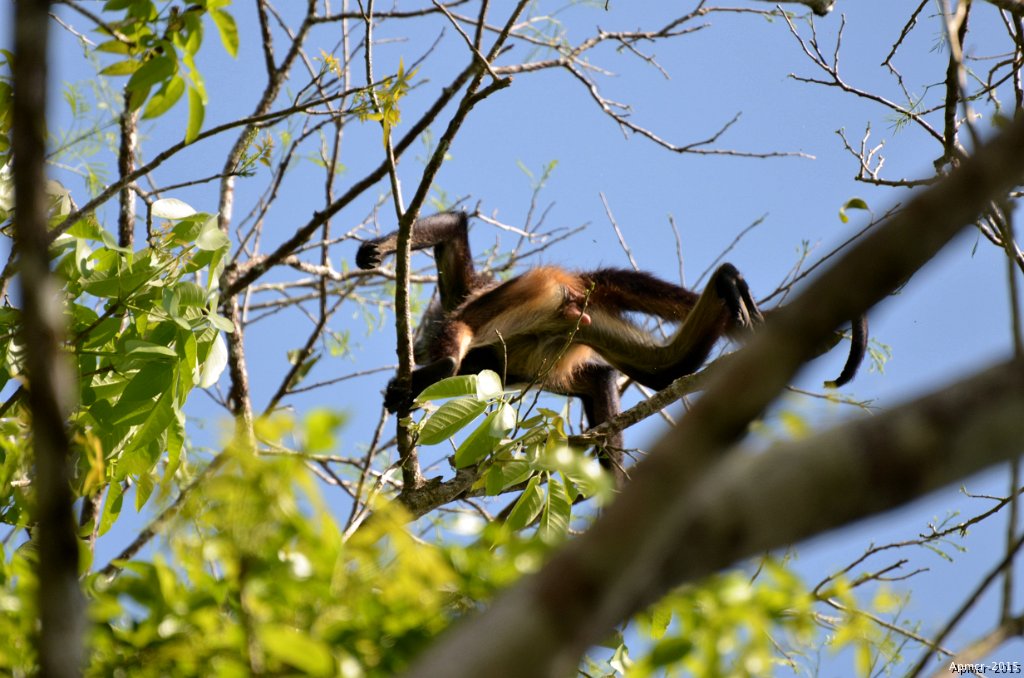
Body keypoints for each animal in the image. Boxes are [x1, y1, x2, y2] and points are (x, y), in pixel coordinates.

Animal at [356, 211, 867, 483]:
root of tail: (575, 282)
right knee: (663, 370)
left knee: (461, 327)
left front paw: (377, 248)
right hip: (578, 320)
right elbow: (599, 380)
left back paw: (440, 362)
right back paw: (726, 284)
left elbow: (455, 232)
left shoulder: (470, 290)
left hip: (523, 297)